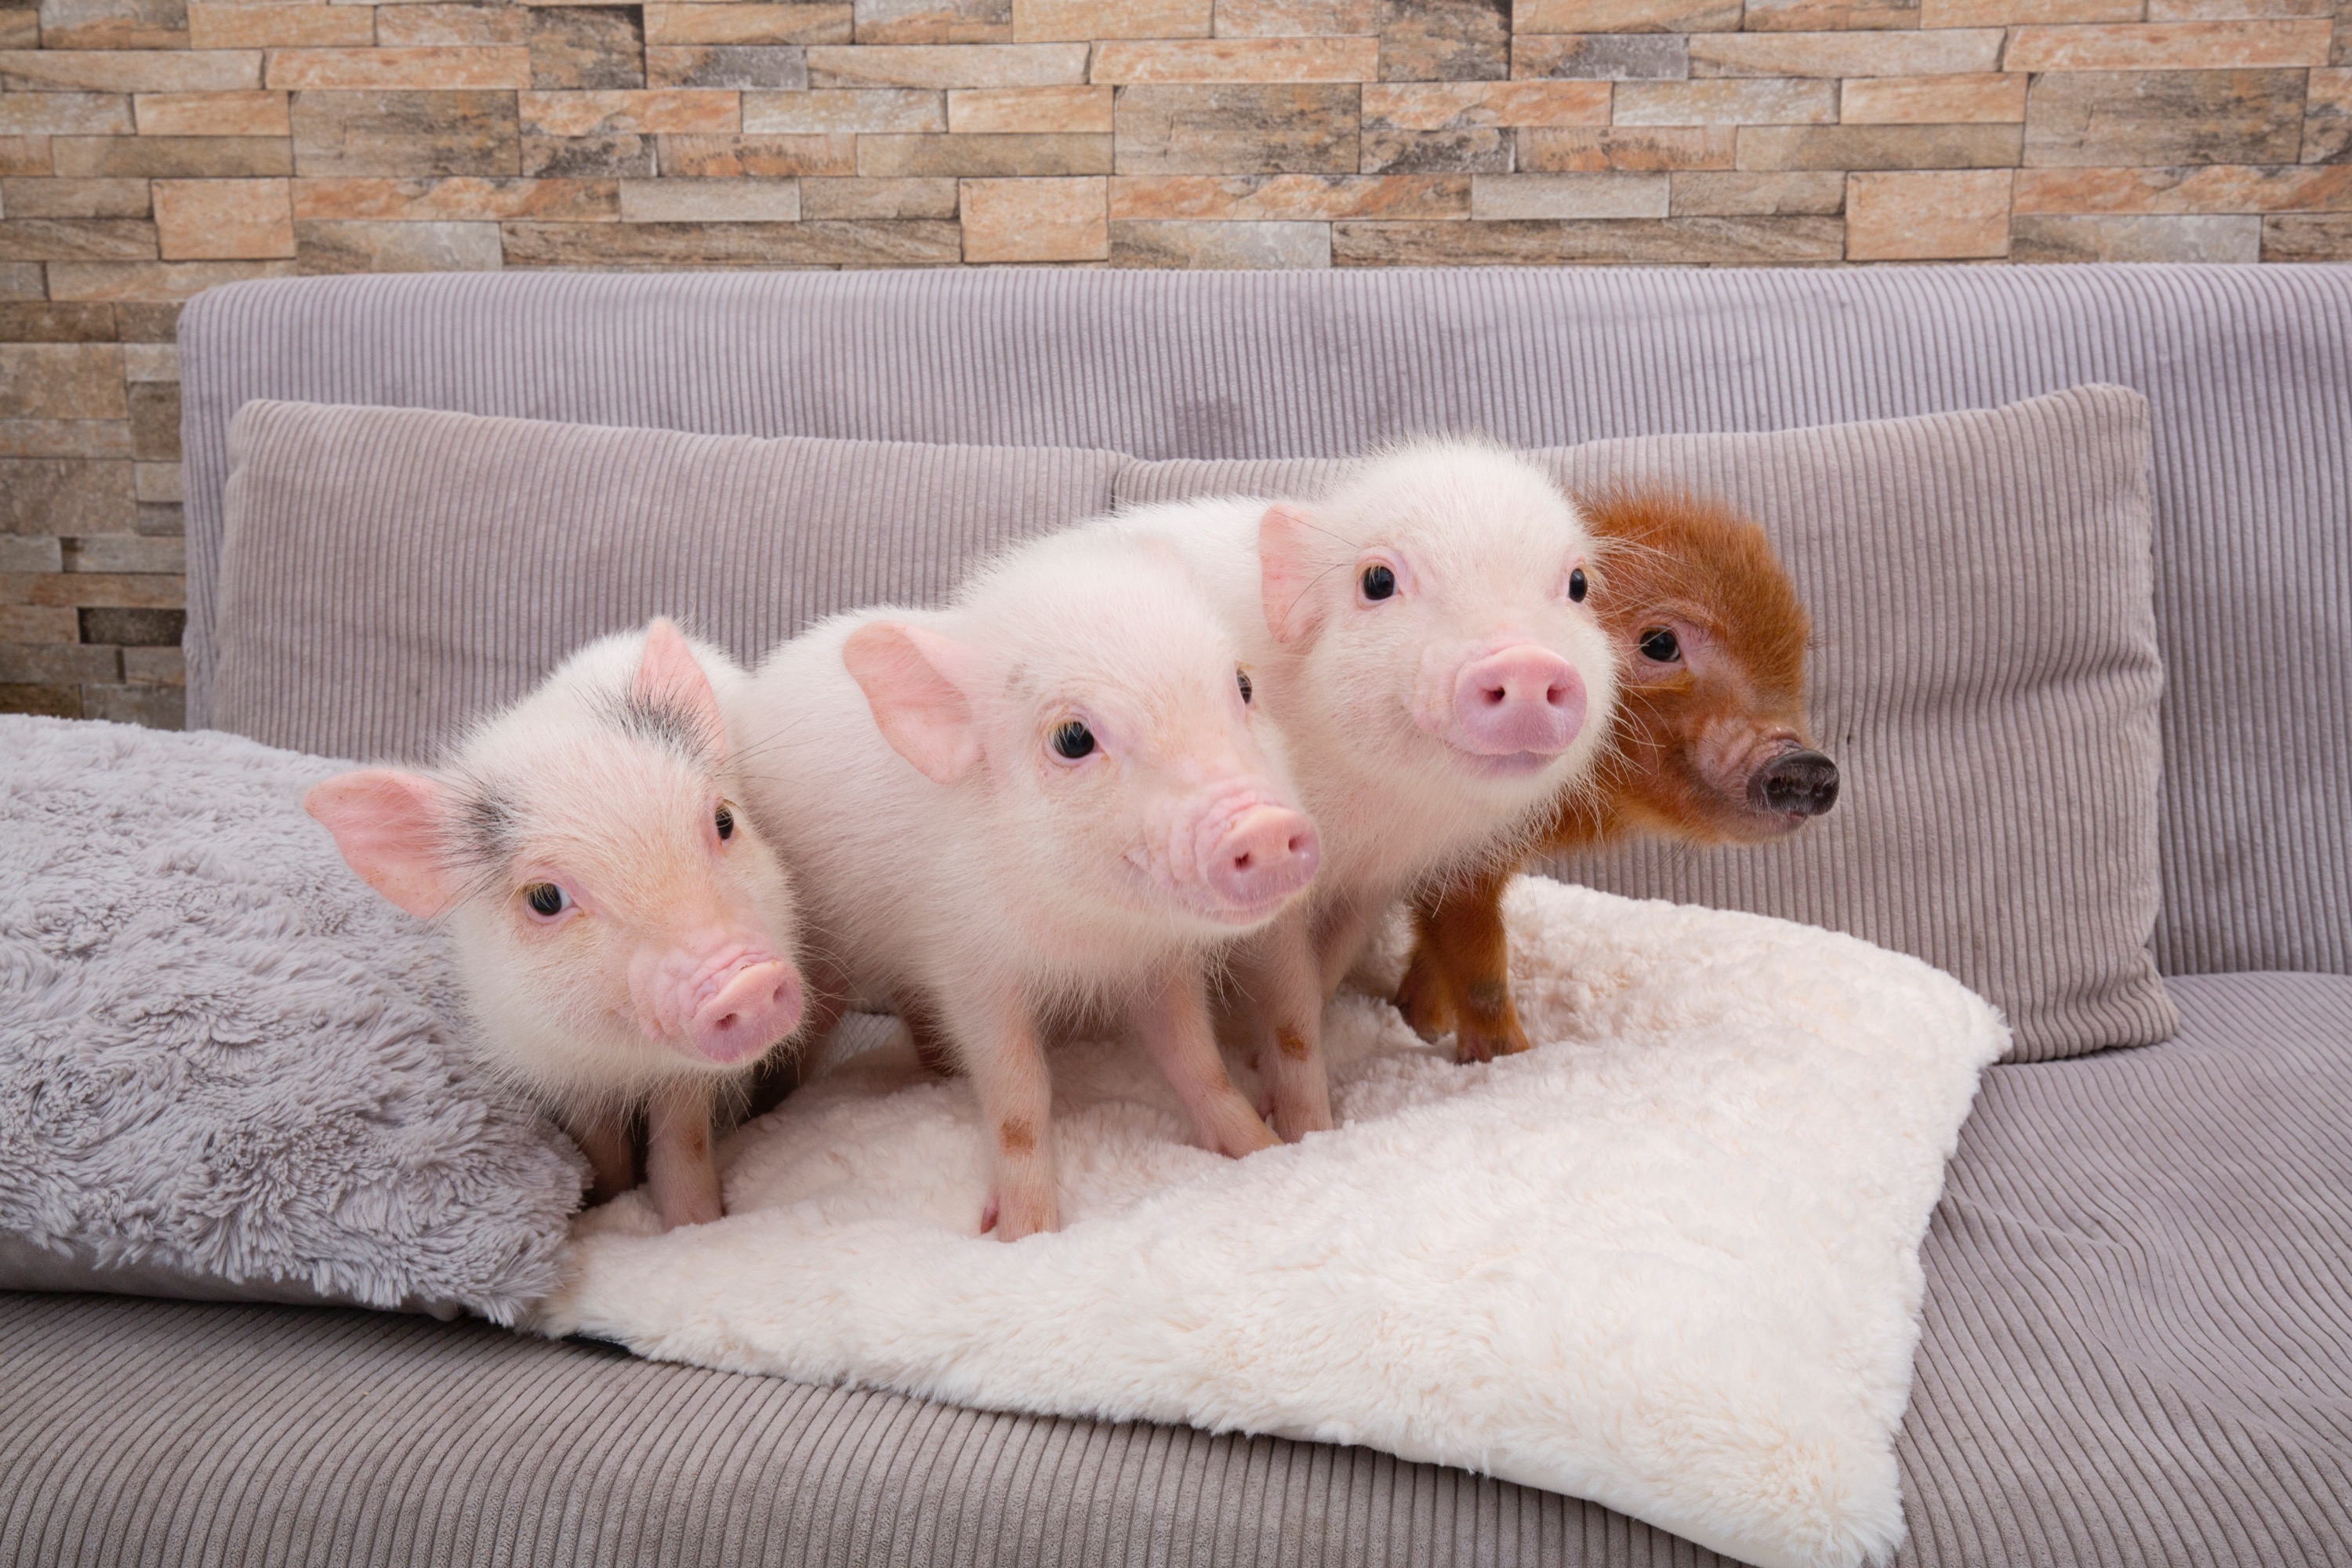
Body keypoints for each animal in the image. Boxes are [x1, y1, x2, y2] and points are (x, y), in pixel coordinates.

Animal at [305, 618, 806, 1230]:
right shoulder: (554, 1063)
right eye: (545, 899)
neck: (625, 1061)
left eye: (723, 821)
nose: (745, 980)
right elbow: (599, 1144)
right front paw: (604, 1205)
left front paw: (695, 1224)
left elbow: (682, 1141)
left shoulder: (687, 1078)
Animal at [728, 527, 1320, 1241]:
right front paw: (1024, 1233)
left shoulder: (1157, 963)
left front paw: (1266, 1149)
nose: (1265, 826)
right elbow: (1017, 1100)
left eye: (1242, 685)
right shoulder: (972, 968)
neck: (1092, 939)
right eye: (1073, 738)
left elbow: (1196, 1059)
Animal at [1100, 438, 1621, 1140]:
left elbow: (1326, 972)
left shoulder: (1374, 883)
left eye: (1577, 585)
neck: (1375, 812)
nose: (1526, 663)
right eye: (1378, 581)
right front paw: (1303, 1131)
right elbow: (1292, 1010)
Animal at [1394, 486, 1839, 1062]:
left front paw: (1419, 1024)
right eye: (1661, 644)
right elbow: (1480, 963)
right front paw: (1510, 1058)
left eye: (1796, 650)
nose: (1805, 763)